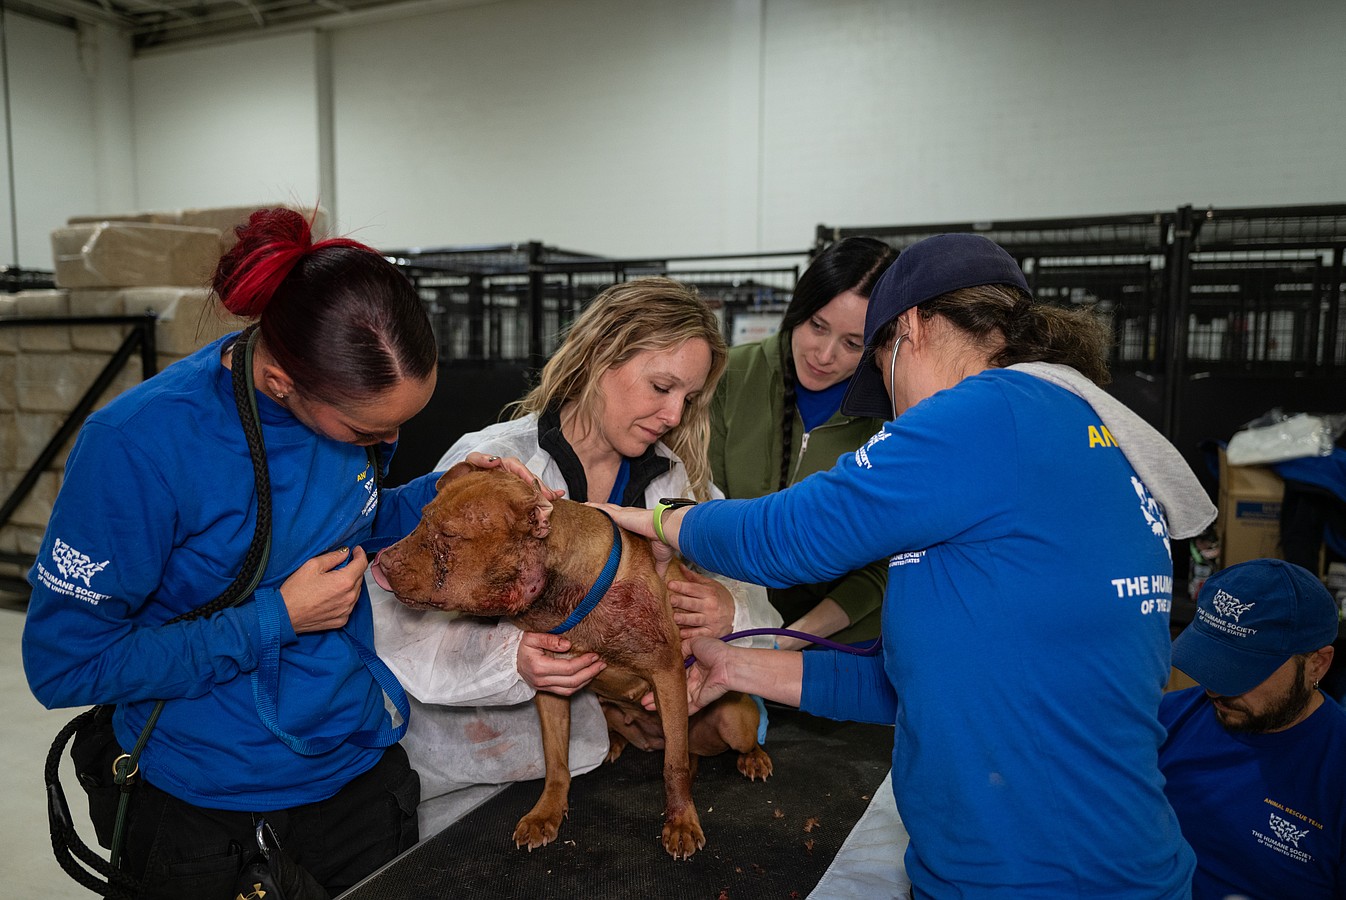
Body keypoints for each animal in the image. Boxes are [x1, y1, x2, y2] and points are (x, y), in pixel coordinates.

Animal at [371, 462, 769, 855]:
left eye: (449, 535)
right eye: (422, 517)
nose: (380, 561)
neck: (564, 595)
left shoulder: (667, 671)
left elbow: (674, 766)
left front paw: (682, 821)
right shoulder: (550, 688)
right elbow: (556, 762)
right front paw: (546, 813)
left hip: (732, 720)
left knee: (704, 747)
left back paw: (753, 757)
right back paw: (616, 744)